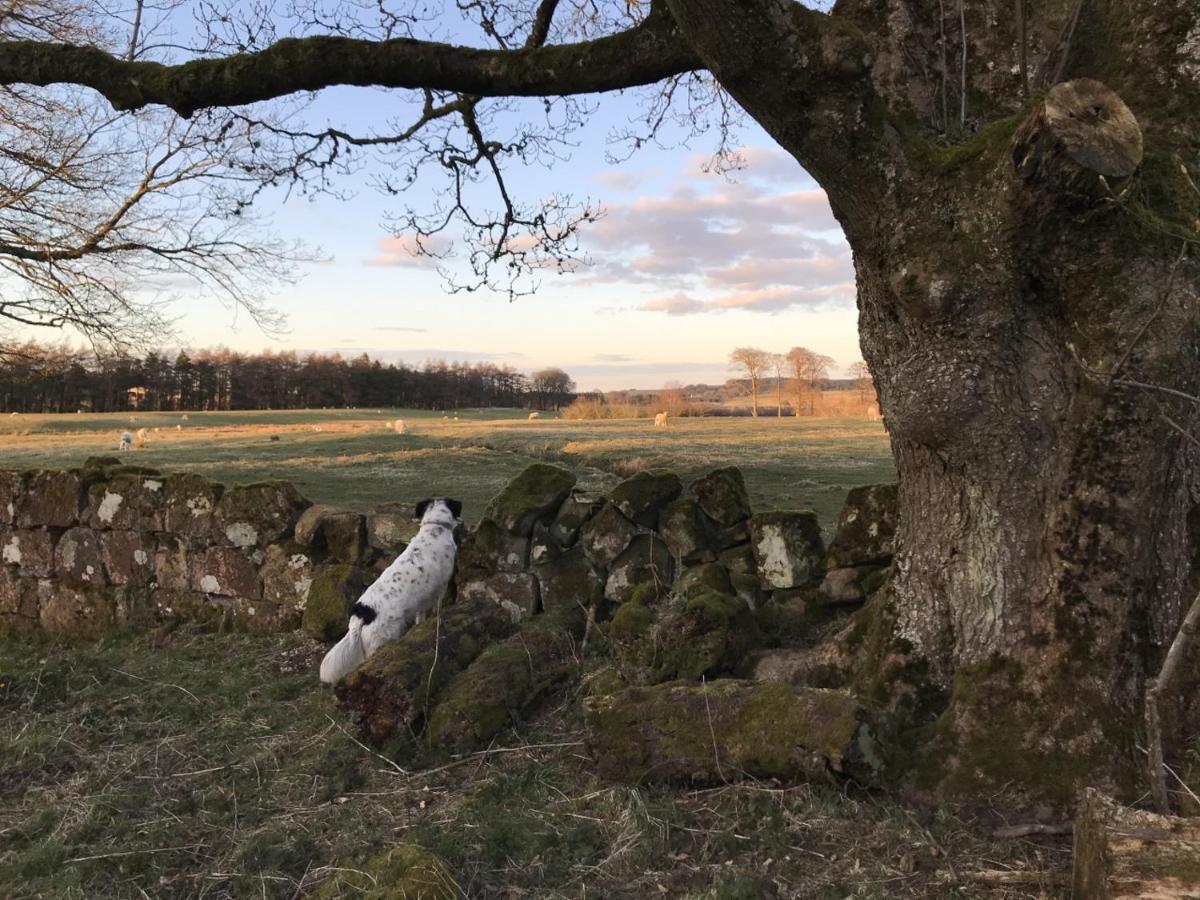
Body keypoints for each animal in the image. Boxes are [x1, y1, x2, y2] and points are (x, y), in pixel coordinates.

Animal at [319, 501, 463, 681]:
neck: (434, 528)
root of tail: (362, 613)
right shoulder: (441, 586)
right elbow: (438, 608)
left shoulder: (421, 600)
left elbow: (420, 616)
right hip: (383, 639)